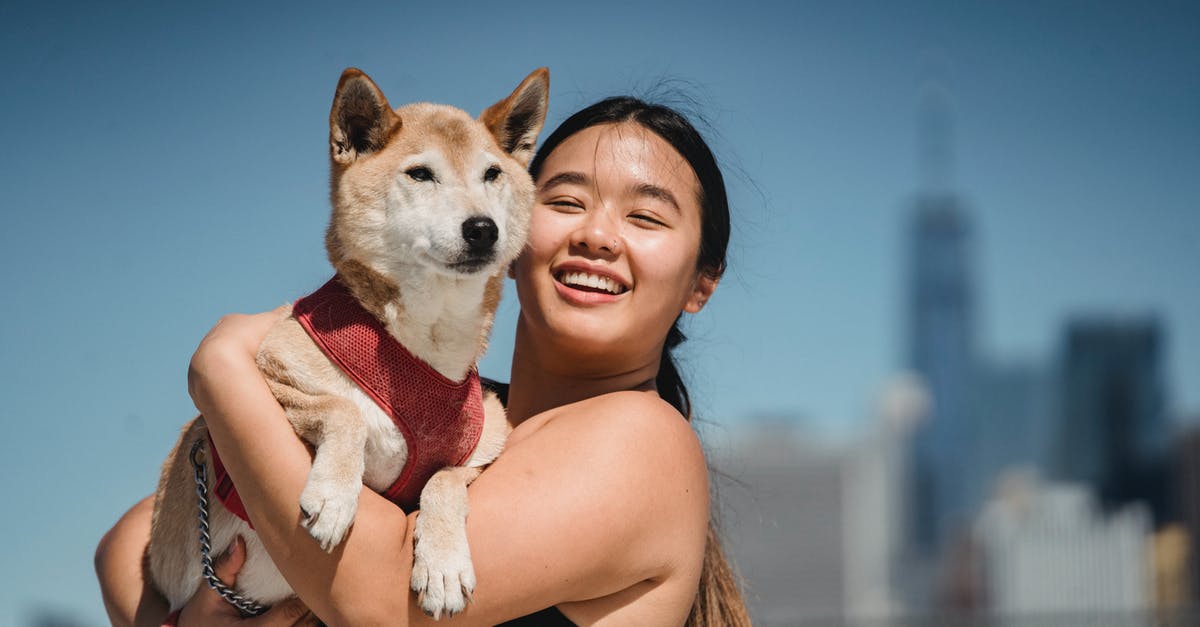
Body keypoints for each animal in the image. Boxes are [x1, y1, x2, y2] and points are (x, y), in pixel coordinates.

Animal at [147, 66, 549, 614]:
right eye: (420, 174)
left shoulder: (485, 451)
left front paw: (443, 563)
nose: (482, 228)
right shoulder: (269, 373)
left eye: (492, 174)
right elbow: (344, 410)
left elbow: (444, 480)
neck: (424, 346)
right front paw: (335, 495)